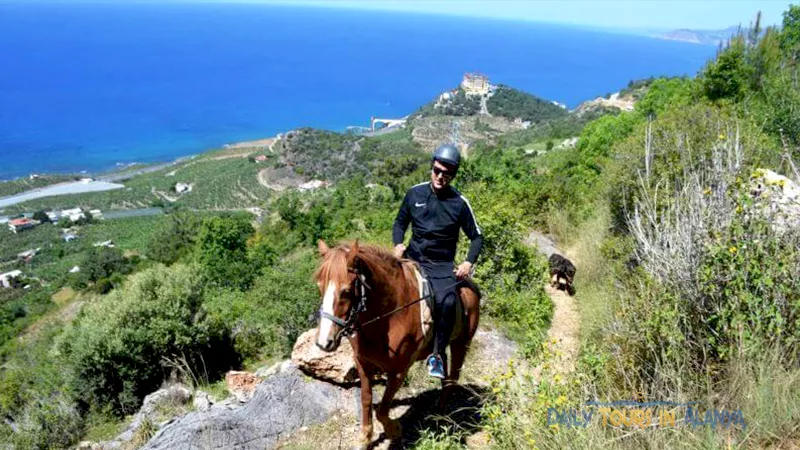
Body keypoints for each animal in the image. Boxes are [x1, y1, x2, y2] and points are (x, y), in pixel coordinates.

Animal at [314, 241, 478, 448]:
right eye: (320, 287)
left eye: (346, 292)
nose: (323, 342)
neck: (390, 317)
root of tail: (469, 285)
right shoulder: (362, 363)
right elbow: (366, 399)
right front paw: (365, 438)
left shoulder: (399, 372)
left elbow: (382, 409)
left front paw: (394, 430)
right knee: (444, 372)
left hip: (461, 343)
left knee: (452, 379)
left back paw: (439, 416)